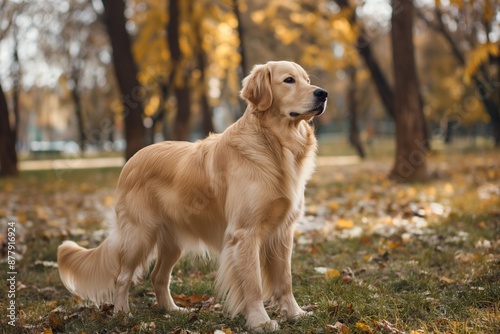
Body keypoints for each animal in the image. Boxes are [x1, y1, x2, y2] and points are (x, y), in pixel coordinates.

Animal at [57, 60, 328, 332]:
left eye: (307, 80)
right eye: (289, 80)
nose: (323, 93)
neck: (273, 144)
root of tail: (131, 160)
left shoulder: (282, 232)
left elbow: (285, 280)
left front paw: (295, 313)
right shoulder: (245, 234)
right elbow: (253, 284)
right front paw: (259, 321)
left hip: (172, 242)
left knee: (158, 276)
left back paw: (173, 310)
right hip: (139, 235)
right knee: (122, 277)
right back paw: (123, 314)